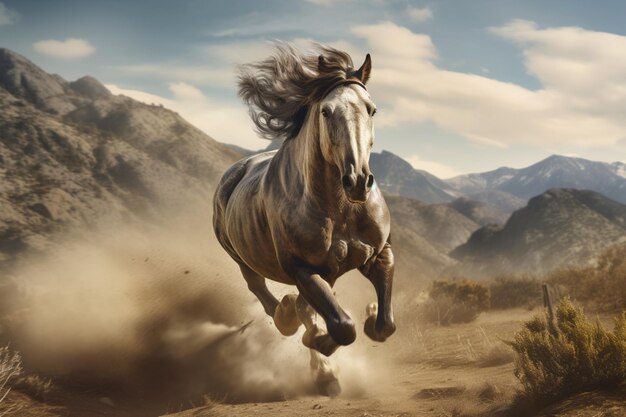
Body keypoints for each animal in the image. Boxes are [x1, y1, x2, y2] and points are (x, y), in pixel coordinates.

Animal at [212, 44, 392, 394]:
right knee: (263, 292)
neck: (341, 210)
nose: (358, 181)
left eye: (372, 110)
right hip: (241, 257)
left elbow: (384, 326)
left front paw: (371, 314)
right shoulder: (302, 269)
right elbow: (341, 327)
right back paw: (292, 325)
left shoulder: (378, 255)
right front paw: (317, 341)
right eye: (326, 111)